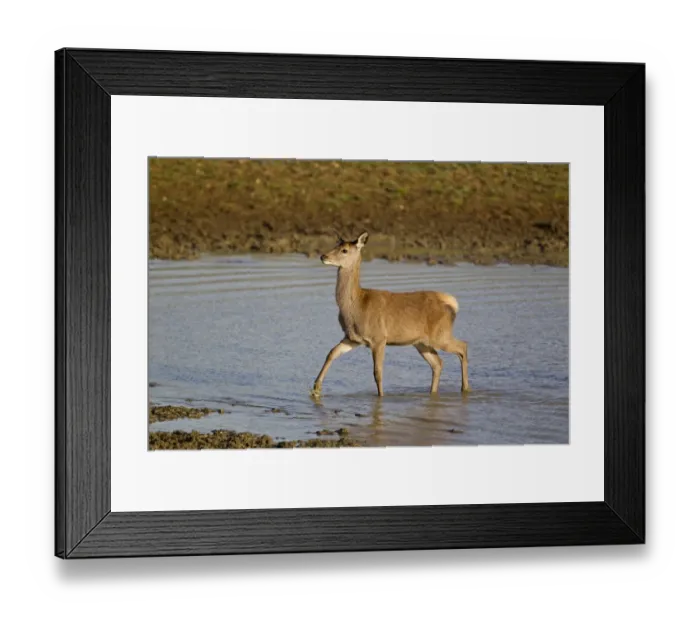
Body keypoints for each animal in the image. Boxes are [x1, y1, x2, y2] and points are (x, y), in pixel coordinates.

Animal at [310, 232, 469, 398]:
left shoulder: (379, 338)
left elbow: (377, 372)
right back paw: (434, 393)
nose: (323, 256)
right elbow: (331, 353)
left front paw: (381, 397)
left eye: (344, 250)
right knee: (438, 363)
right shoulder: (352, 338)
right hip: (421, 342)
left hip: (440, 335)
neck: (357, 306)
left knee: (462, 347)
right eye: (336, 245)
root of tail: (452, 303)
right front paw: (316, 389)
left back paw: (465, 388)